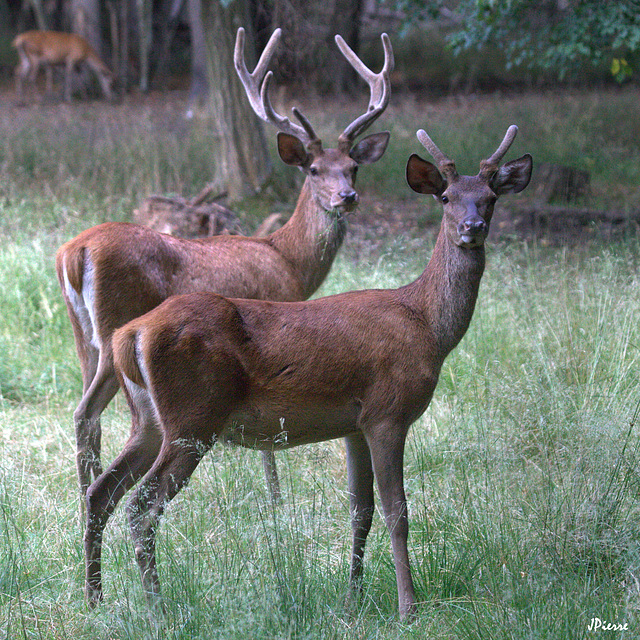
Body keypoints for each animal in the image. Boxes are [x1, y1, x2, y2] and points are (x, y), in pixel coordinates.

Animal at [56, 27, 396, 508]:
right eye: (313, 169)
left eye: (353, 168)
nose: (346, 197)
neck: (289, 260)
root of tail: (76, 252)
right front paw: (276, 499)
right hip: (112, 324)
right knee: (87, 410)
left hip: (82, 335)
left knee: (85, 413)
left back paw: (81, 496)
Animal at [82, 122, 532, 616]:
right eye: (447, 197)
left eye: (491, 196)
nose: (473, 227)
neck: (426, 325)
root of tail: (132, 334)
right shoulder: (388, 412)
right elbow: (397, 512)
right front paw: (408, 607)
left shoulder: (355, 425)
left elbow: (360, 511)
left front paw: (353, 598)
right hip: (192, 418)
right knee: (140, 506)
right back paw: (158, 608)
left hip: (149, 420)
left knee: (100, 492)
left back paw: (95, 598)